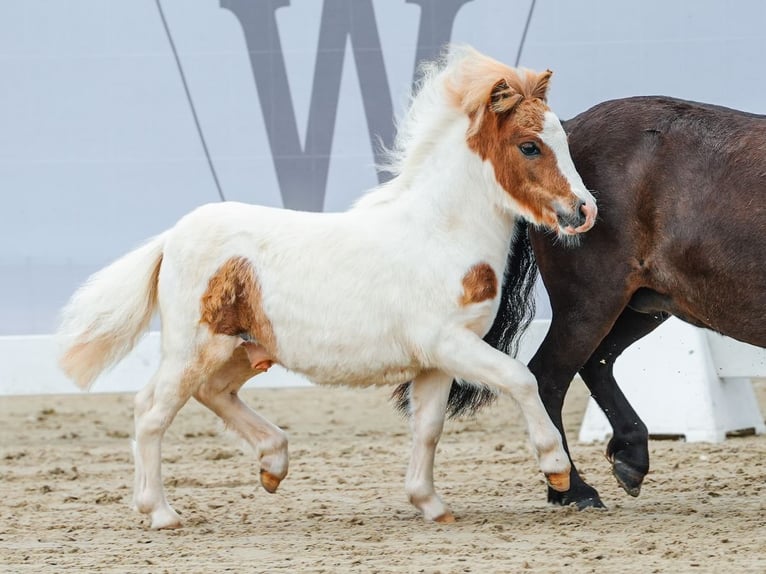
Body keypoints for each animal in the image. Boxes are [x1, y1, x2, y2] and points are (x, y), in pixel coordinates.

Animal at [60, 46, 600, 532]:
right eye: (529, 145)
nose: (584, 210)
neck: (441, 235)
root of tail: (172, 238)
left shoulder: (436, 360)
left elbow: (428, 428)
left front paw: (430, 504)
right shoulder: (449, 343)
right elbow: (520, 378)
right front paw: (556, 472)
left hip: (241, 349)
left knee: (208, 394)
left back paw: (272, 466)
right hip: (196, 348)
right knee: (152, 413)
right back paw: (162, 513)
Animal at [396, 97, 766, 510]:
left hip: (642, 303)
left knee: (596, 363)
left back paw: (629, 459)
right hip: (591, 302)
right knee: (549, 377)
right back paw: (573, 488)